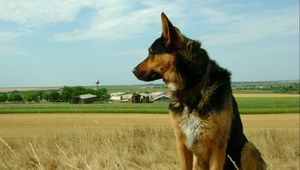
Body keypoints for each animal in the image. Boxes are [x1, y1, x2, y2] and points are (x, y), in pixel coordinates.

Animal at [132, 12, 266, 170]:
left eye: (151, 53)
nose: (132, 71)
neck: (192, 89)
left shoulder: (217, 147)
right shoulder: (182, 144)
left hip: (248, 148)